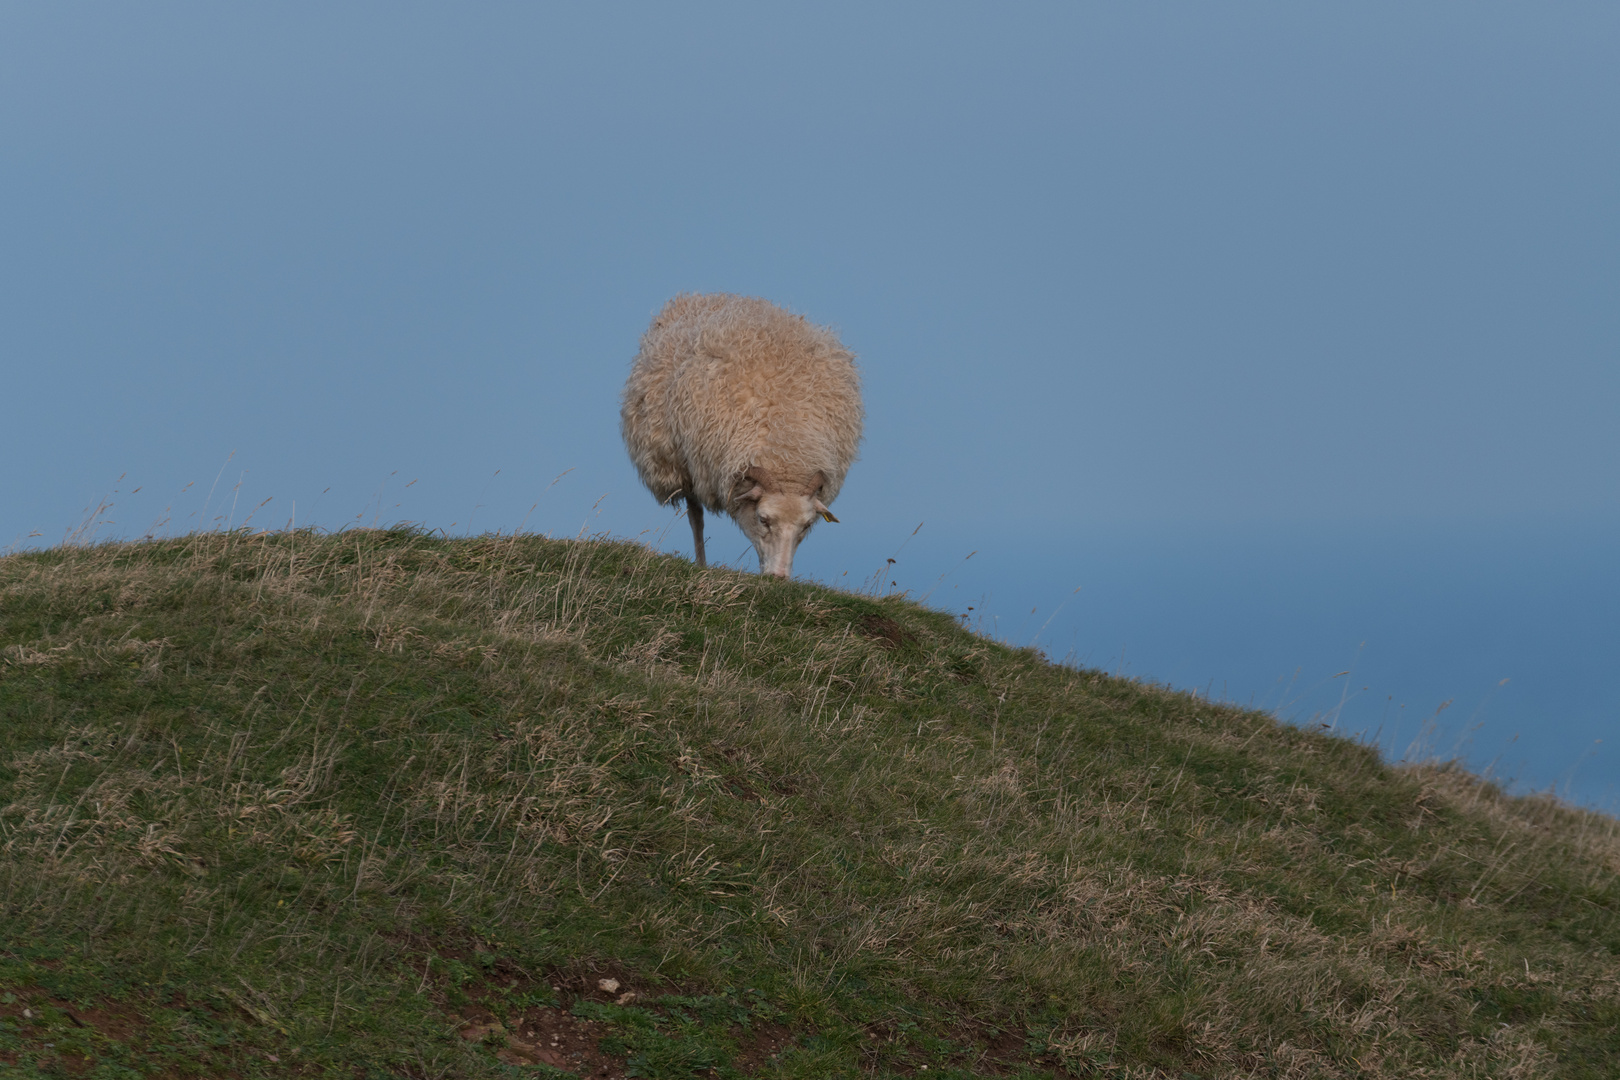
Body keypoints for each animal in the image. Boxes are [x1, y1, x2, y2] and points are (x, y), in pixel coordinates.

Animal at [622, 291, 874, 579]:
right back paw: (701, 562)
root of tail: (702, 296)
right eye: (763, 519)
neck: (786, 452)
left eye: (807, 526)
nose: (779, 578)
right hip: (683, 462)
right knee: (695, 514)